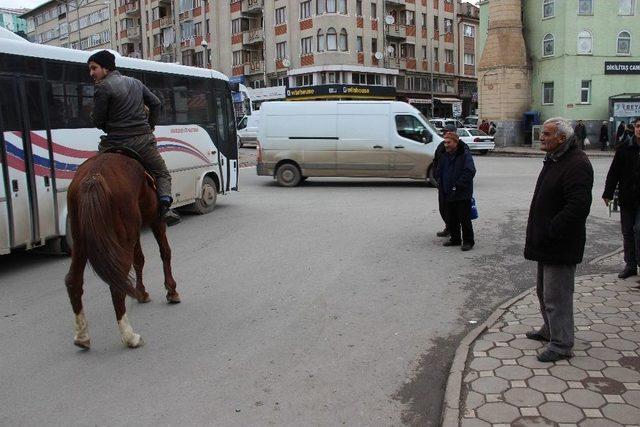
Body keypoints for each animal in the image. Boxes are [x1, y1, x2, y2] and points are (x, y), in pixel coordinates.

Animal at [64, 154, 179, 352]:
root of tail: (93, 177)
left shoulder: (135, 232)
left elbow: (139, 259)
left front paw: (141, 293)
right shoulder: (156, 220)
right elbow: (165, 252)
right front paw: (171, 290)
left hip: (81, 241)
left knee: (73, 280)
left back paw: (82, 337)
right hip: (123, 235)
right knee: (116, 286)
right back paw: (130, 337)